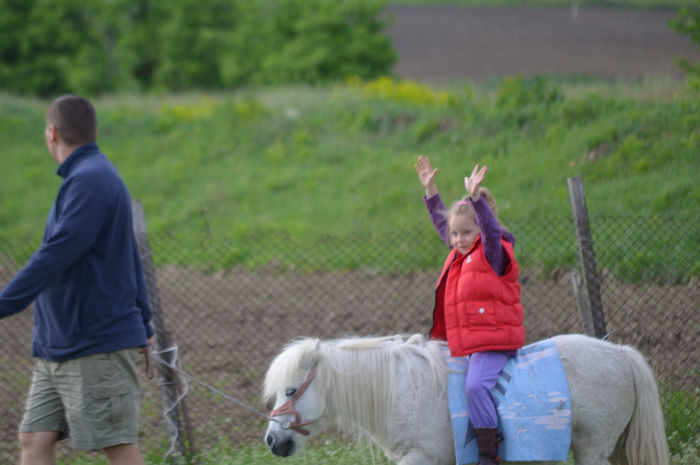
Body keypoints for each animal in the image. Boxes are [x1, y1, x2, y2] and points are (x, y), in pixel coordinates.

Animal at [262, 334, 668, 464]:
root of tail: (621, 354)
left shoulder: (419, 459)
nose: (270, 440)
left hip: (592, 450)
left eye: (291, 390)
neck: (401, 390)